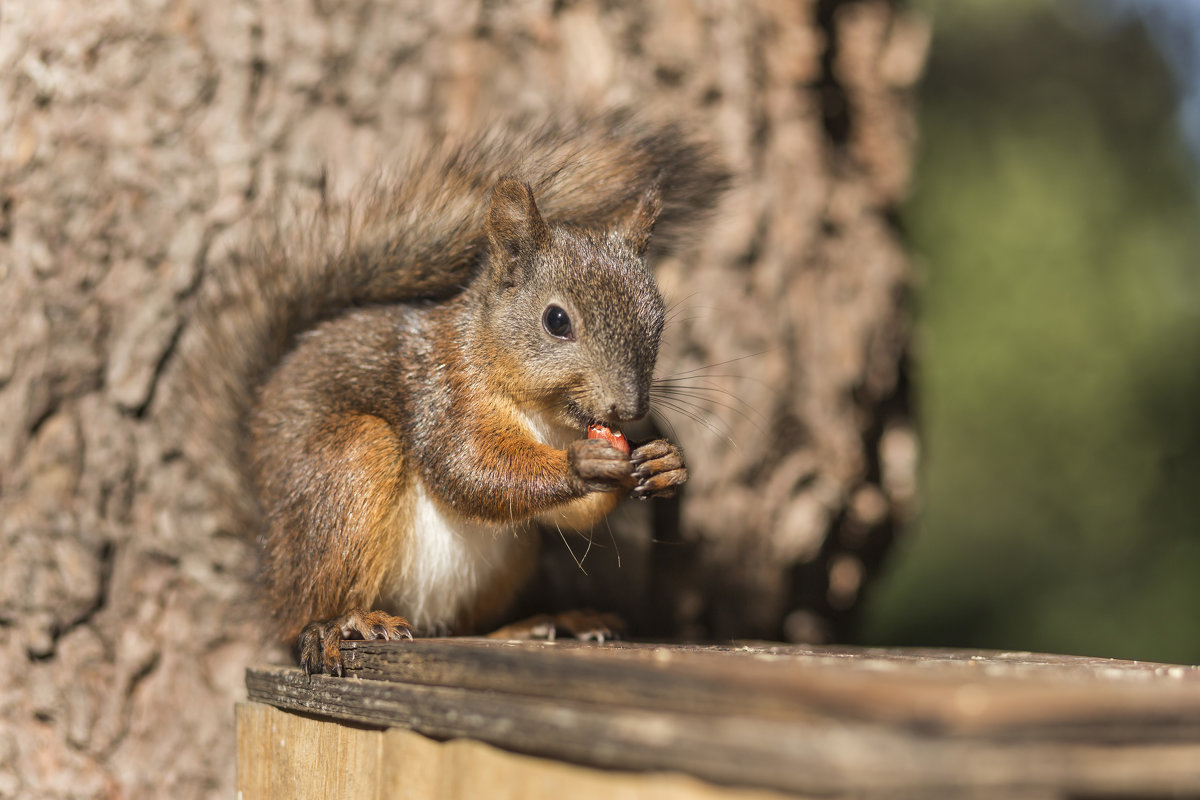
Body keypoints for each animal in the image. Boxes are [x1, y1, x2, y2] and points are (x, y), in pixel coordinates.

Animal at [186, 112, 724, 676]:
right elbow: (469, 469)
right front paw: (585, 463)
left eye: (658, 323)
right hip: (348, 467)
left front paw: (664, 461)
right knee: (304, 617)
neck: (546, 417)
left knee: (466, 625)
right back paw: (346, 623)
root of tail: (269, 568)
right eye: (556, 320)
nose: (631, 409)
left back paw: (540, 623)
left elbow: (561, 514)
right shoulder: (443, 389)